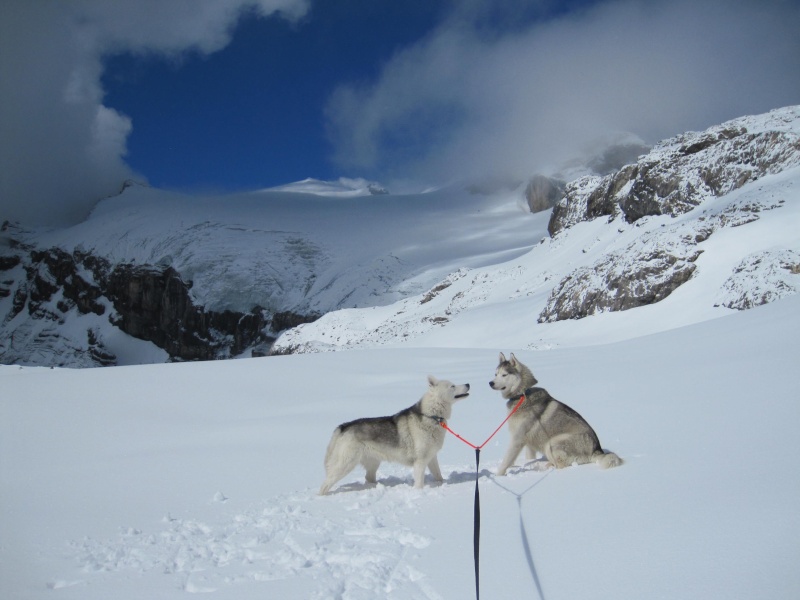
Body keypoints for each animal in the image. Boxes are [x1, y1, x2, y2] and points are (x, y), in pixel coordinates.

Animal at [318, 376, 468, 496]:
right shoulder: (420, 462)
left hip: (373, 463)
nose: (468, 384)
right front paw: (419, 493)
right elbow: (419, 483)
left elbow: (439, 476)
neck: (432, 416)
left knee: (368, 478)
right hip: (345, 464)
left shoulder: (431, 458)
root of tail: (343, 426)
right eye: (452, 386)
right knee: (325, 484)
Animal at [488, 352, 624, 474]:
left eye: (504, 374)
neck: (522, 394)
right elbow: (529, 457)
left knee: (561, 466)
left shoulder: (518, 439)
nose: (490, 383)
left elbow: (506, 460)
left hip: (553, 442)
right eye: (495, 374)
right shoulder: (528, 442)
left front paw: (498, 475)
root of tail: (597, 449)